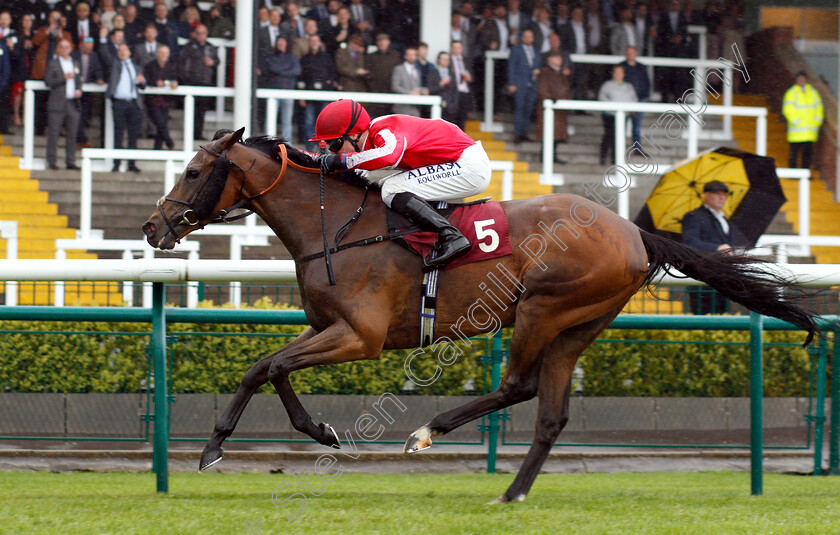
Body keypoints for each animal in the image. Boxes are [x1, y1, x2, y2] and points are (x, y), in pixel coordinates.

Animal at [144, 127, 820, 504]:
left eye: (194, 170)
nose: (154, 226)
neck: (334, 226)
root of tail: (633, 230)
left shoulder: (359, 336)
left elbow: (265, 369)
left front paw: (218, 448)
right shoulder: (326, 326)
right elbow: (270, 367)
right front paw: (315, 431)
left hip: (543, 310)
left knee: (519, 385)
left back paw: (428, 431)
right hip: (579, 324)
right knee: (550, 413)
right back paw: (511, 492)